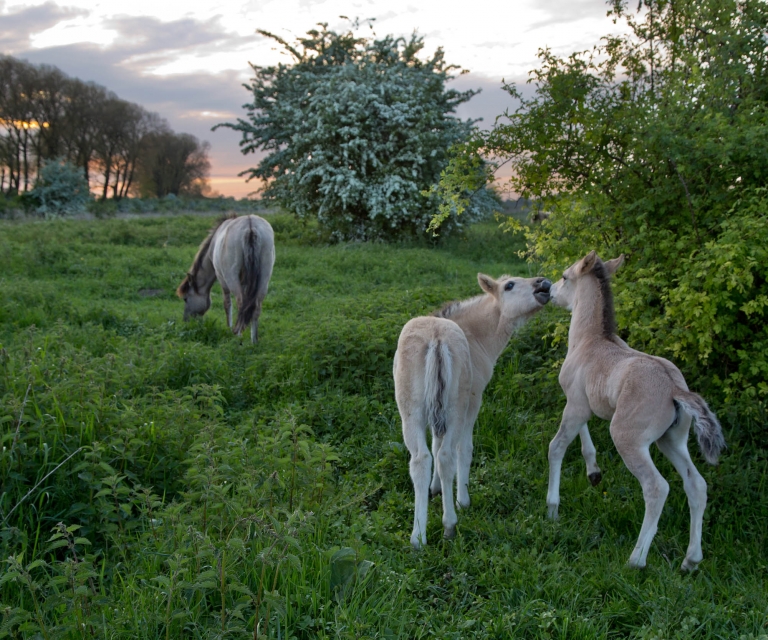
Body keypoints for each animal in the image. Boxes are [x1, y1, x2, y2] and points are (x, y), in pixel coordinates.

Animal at [177, 214, 276, 342]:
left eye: (185, 299)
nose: (186, 320)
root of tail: (250, 226)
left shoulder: (222, 279)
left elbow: (227, 303)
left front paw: (229, 328)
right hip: (264, 278)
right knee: (256, 306)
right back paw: (254, 341)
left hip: (231, 278)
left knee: (240, 304)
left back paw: (237, 335)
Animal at [396, 272, 552, 548]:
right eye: (509, 285)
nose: (543, 284)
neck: (477, 337)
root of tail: (436, 337)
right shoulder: (473, 399)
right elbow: (463, 449)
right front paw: (462, 499)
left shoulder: (436, 413)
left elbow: (435, 443)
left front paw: (435, 490)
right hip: (457, 407)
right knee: (447, 456)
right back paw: (449, 524)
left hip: (411, 411)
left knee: (421, 459)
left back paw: (418, 536)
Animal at [544, 250, 728, 568]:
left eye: (566, 277)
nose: (550, 291)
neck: (589, 340)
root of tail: (675, 389)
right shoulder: (584, 404)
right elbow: (582, 433)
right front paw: (594, 473)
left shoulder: (576, 405)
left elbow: (557, 446)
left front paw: (552, 509)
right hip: (672, 440)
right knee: (697, 485)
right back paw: (691, 560)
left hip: (627, 437)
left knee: (657, 487)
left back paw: (636, 559)